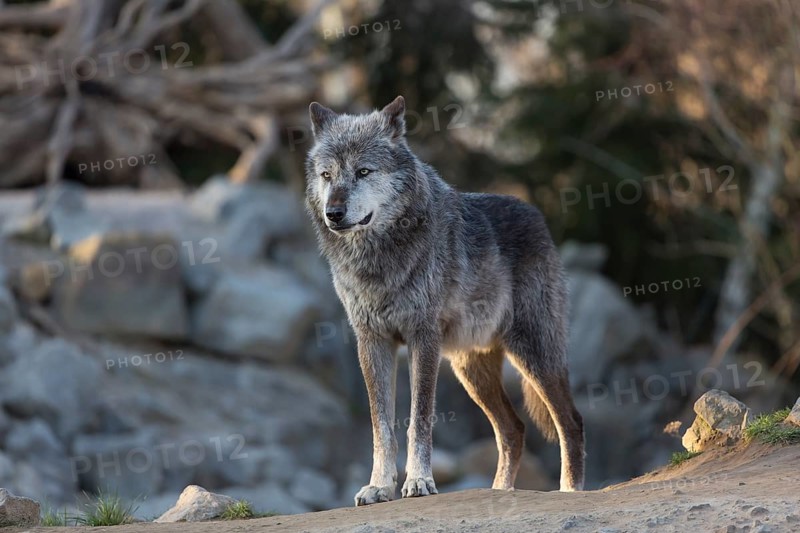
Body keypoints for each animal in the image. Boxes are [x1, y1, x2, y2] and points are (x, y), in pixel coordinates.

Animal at [305, 96, 585, 506]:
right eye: (327, 175)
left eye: (363, 171)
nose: (333, 214)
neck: (378, 259)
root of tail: (536, 215)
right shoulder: (372, 341)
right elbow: (380, 425)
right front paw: (379, 486)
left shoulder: (423, 338)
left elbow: (419, 418)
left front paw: (419, 482)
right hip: (471, 370)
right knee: (513, 429)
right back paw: (499, 491)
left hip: (534, 354)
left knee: (570, 422)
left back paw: (569, 490)